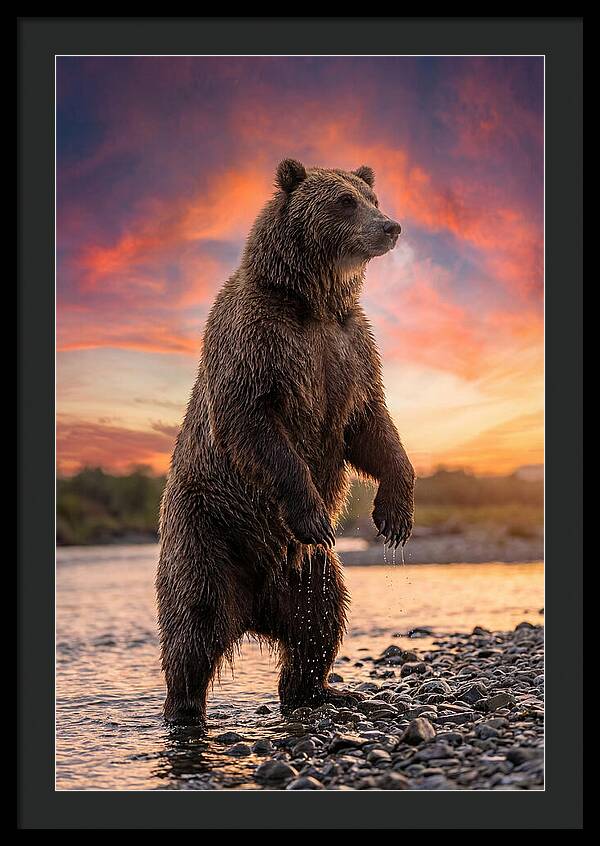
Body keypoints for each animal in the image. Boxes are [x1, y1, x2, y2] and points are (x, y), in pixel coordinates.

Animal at [156, 159, 415, 727]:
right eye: (344, 201)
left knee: (320, 620)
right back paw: (184, 710)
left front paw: (395, 514)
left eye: (371, 196)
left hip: (309, 572)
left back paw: (322, 691)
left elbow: (372, 427)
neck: (313, 302)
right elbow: (255, 424)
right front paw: (315, 512)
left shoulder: (350, 350)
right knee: (194, 622)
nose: (390, 227)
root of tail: (254, 609)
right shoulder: (260, 342)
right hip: (208, 530)